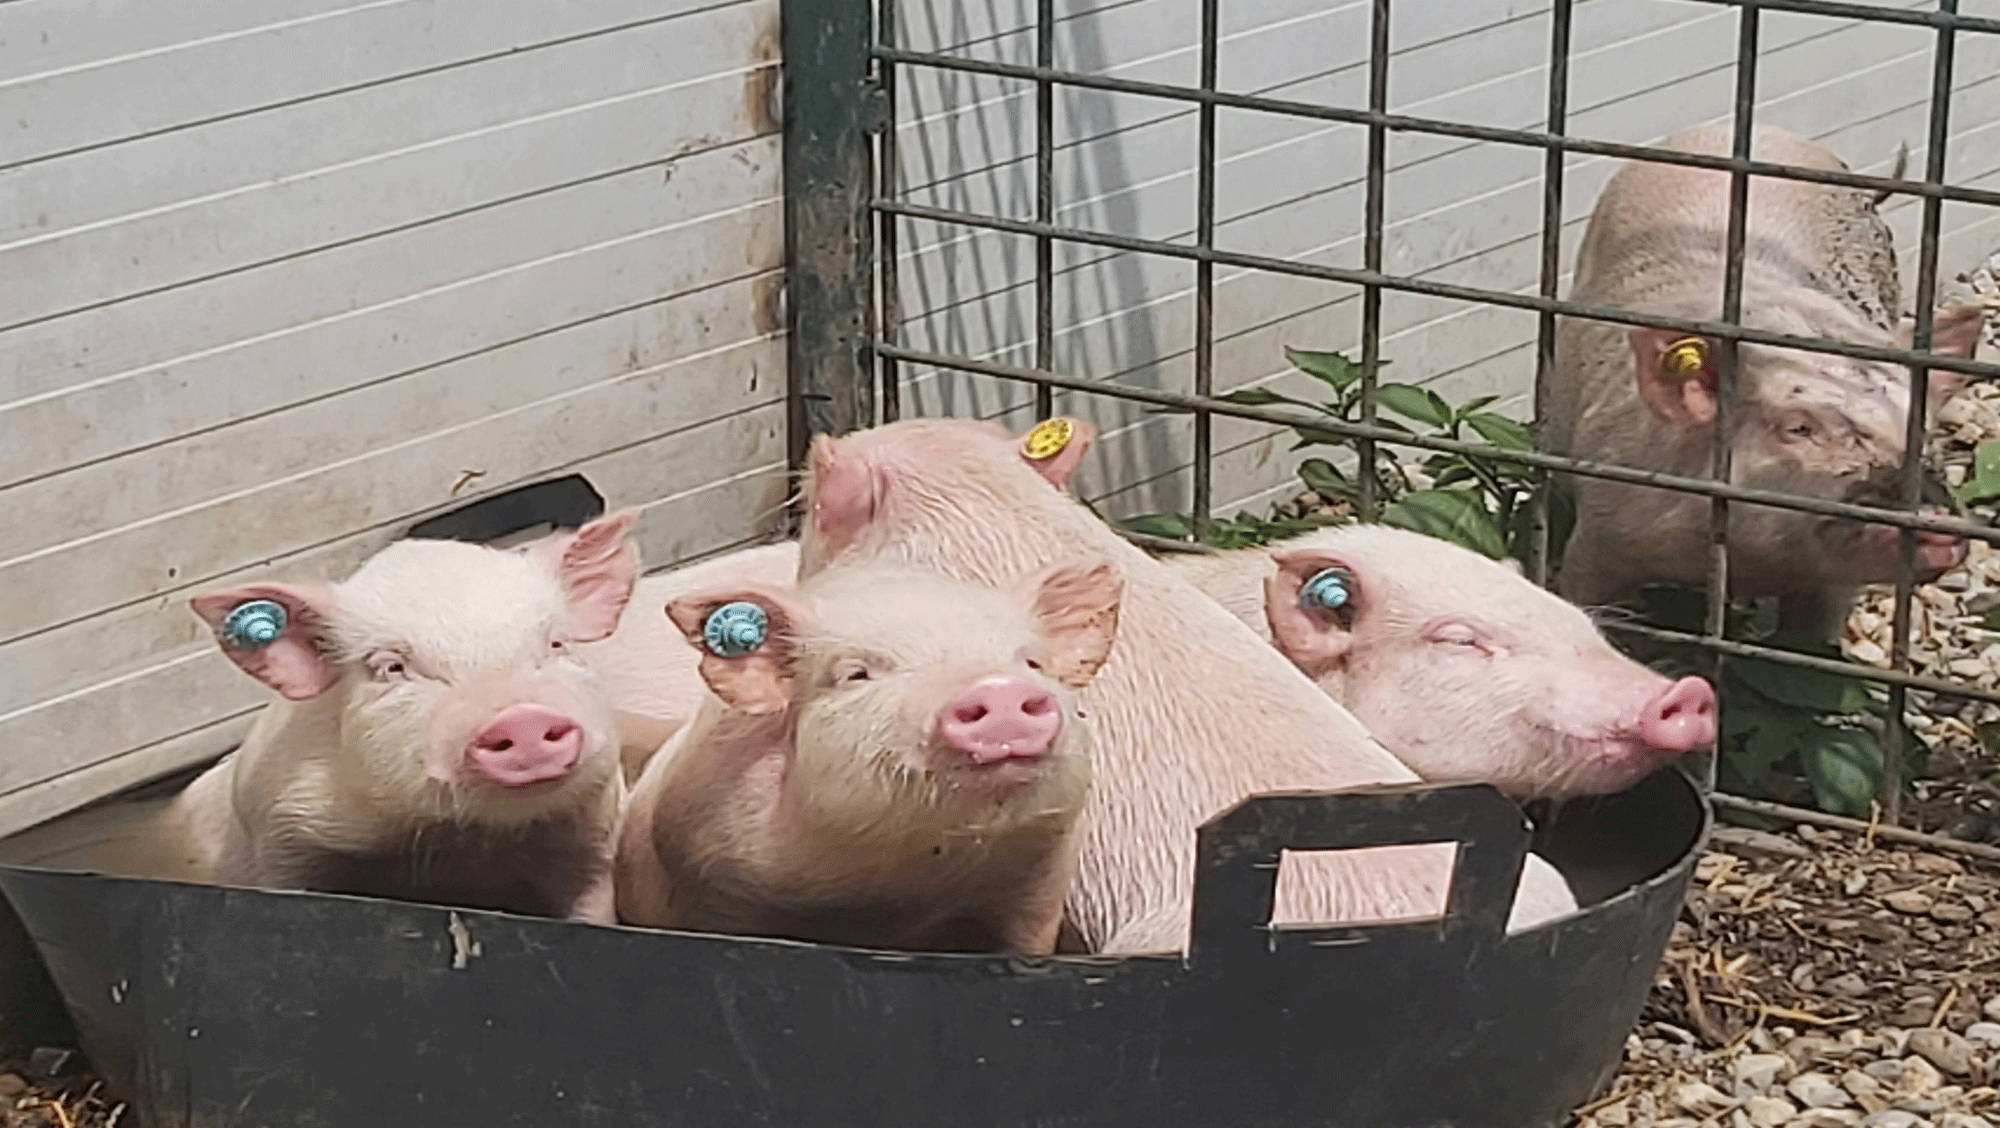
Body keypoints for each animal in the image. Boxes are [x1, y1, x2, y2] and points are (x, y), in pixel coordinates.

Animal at [163, 512, 639, 923]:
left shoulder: (592, 835)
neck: (459, 846)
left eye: (556, 643)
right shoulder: (282, 836)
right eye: (391, 667)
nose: (522, 718)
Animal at [1547, 121, 1987, 638]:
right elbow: (1583, 591)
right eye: (1798, 427)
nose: (1937, 518)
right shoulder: (1604, 523)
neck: (1751, 563)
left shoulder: (1831, 584)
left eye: (1922, 428)